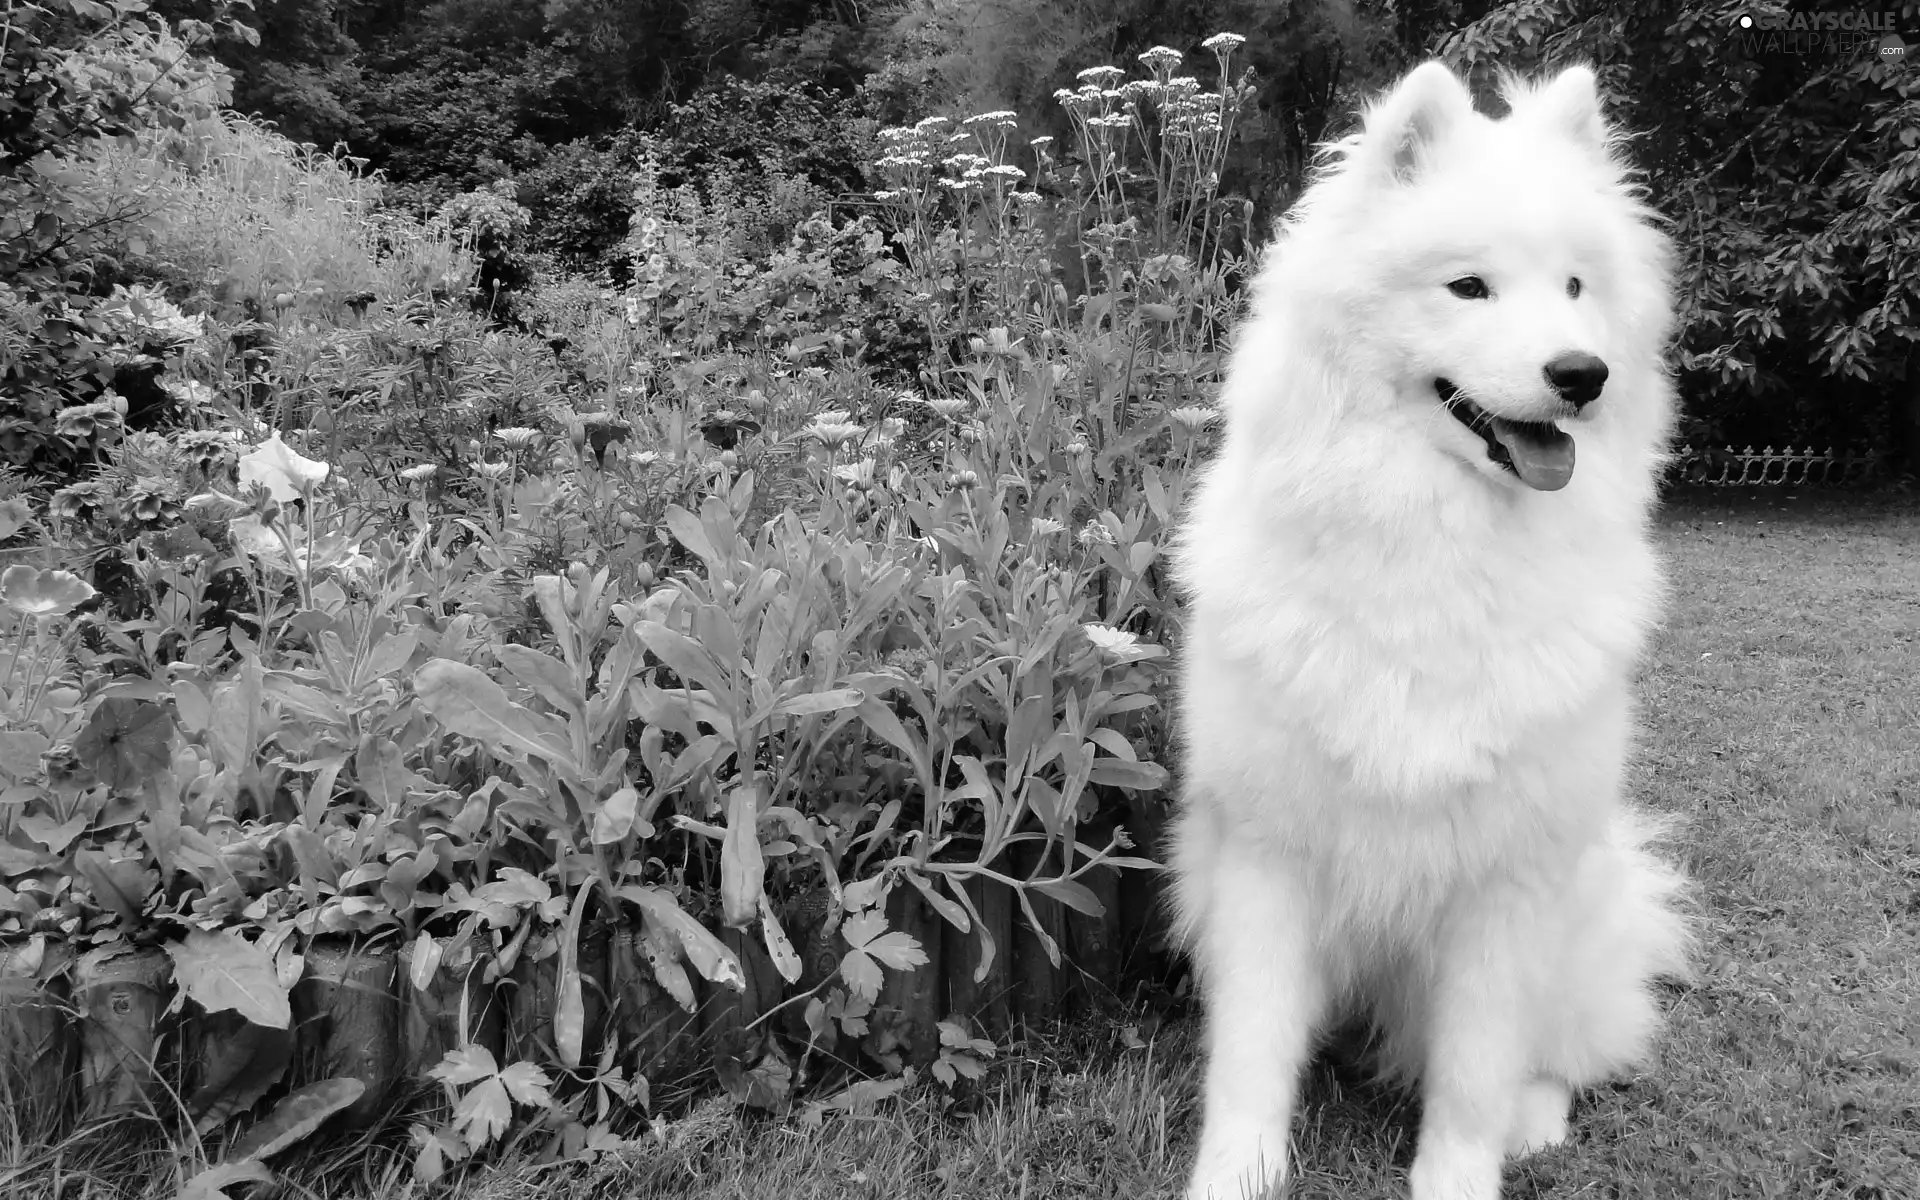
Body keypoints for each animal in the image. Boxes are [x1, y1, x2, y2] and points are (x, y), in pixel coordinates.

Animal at [1167, 63, 1697, 1198]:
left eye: (1576, 288)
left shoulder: (1505, 889)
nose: (1582, 374)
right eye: (1469, 288)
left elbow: (1473, 1074)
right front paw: (1238, 1174)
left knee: (1553, 1059)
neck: (1435, 547)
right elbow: (1253, 1053)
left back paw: (1535, 1121)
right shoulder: (1266, 859)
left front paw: (1459, 1175)